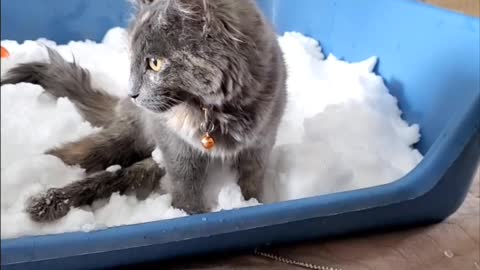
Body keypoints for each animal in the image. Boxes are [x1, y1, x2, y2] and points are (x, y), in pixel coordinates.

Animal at [0, 0, 284, 221]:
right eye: (133, 61)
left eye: (155, 63)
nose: (133, 93)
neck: (215, 110)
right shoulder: (174, 144)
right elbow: (186, 183)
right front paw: (187, 214)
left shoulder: (260, 142)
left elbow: (250, 179)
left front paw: (251, 205)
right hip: (127, 135)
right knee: (76, 155)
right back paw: (40, 191)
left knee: (120, 176)